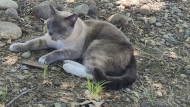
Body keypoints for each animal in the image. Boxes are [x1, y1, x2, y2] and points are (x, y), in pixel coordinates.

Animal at [9, 4, 137, 90]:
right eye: (49, 24)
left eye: (59, 28)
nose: (50, 33)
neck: (60, 40)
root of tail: (132, 53)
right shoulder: (46, 40)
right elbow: (30, 43)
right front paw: (15, 46)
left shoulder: (71, 51)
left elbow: (55, 53)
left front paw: (43, 59)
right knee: (89, 67)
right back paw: (68, 62)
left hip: (94, 47)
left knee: (94, 73)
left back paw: (68, 66)